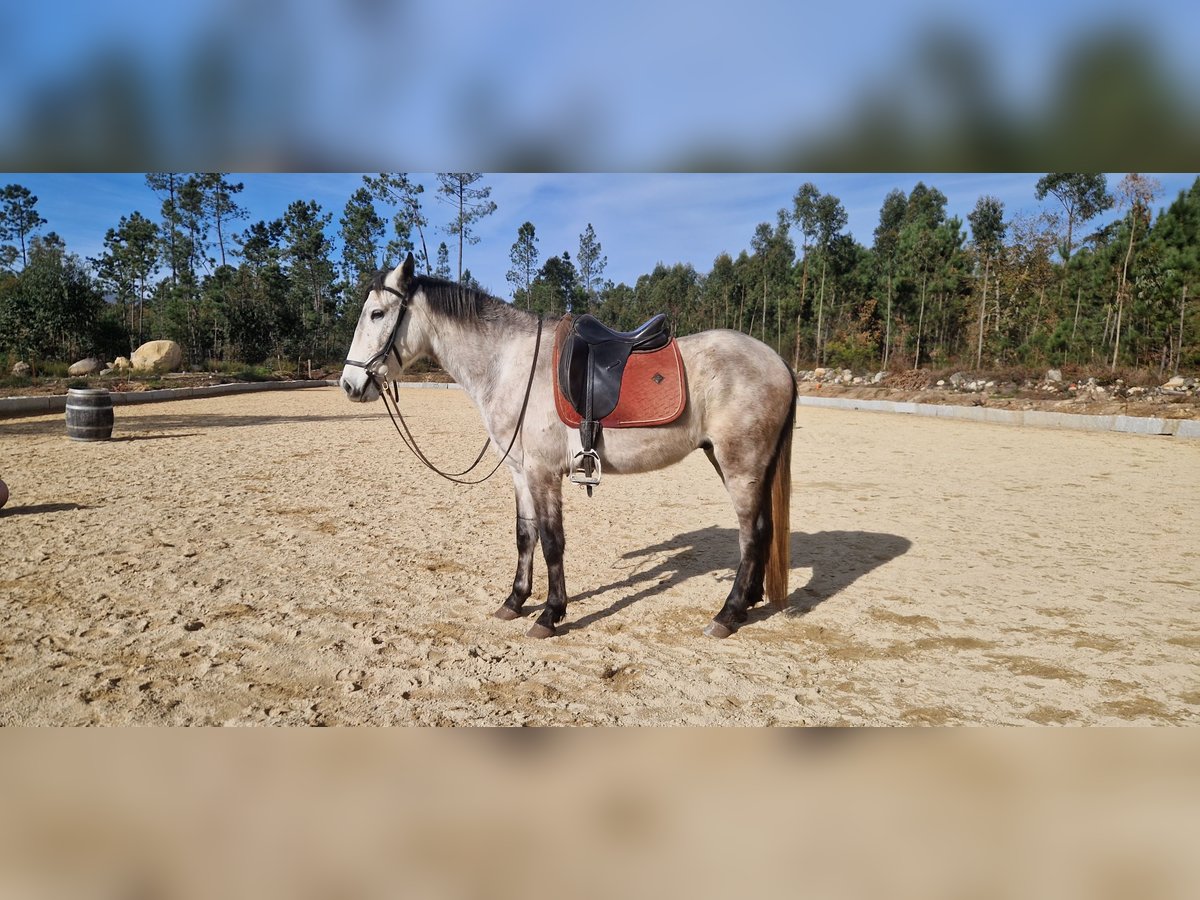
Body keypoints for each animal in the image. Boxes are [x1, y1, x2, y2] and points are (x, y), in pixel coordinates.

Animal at [340, 254, 796, 638]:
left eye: (377, 313)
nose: (349, 384)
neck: (510, 365)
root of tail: (777, 360)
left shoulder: (543, 473)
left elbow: (551, 540)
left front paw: (550, 614)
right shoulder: (520, 472)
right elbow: (525, 535)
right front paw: (515, 601)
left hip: (740, 465)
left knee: (753, 533)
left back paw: (727, 614)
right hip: (738, 463)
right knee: (762, 529)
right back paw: (747, 603)